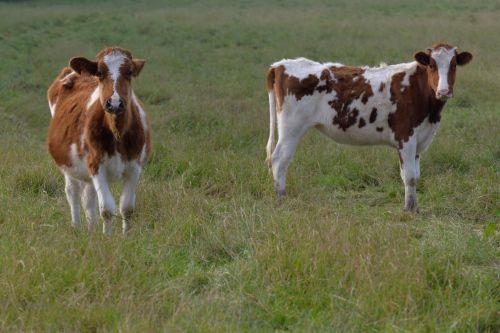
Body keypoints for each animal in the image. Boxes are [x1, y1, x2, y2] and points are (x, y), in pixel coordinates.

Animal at [47, 46, 149, 233]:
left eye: (130, 72)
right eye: (100, 73)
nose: (114, 103)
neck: (117, 134)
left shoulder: (135, 167)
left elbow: (127, 208)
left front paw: (126, 236)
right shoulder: (96, 165)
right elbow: (107, 208)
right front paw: (107, 237)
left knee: (88, 198)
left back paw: (91, 228)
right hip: (69, 164)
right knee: (72, 193)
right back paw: (76, 227)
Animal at [266, 43, 472, 210]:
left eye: (453, 65)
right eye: (431, 65)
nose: (443, 91)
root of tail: (280, 65)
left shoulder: (420, 140)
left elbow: (416, 175)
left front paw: (415, 207)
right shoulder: (405, 137)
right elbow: (409, 176)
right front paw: (409, 209)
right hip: (291, 128)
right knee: (279, 160)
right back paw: (281, 200)